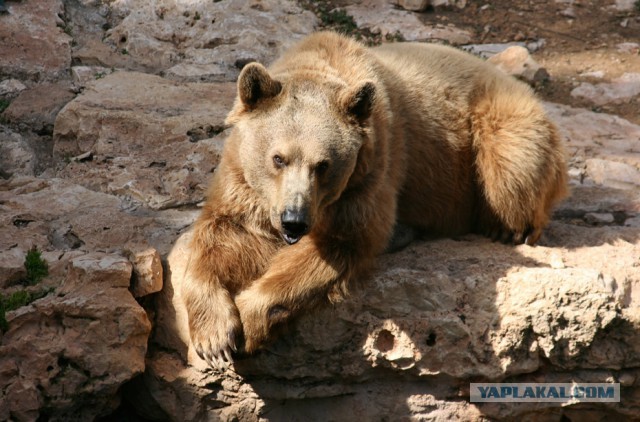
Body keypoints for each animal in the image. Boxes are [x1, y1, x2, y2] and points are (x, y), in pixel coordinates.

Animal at [181, 31, 568, 368]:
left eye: (323, 165)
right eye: (278, 158)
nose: (294, 221)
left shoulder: (368, 177)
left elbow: (340, 245)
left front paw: (247, 321)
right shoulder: (243, 184)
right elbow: (223, 234)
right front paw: (215, 337)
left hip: (500, 126)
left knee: (511, 170)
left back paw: (508, 229)